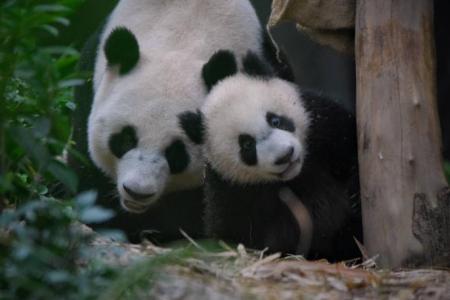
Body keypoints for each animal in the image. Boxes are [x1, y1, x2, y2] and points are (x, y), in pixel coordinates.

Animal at [179, 50, 362, 262]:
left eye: (275, 120)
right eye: (247, 145)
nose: (285, 156)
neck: (294, 177)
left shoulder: (323, 127)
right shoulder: (230, 190)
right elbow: (228, 231)